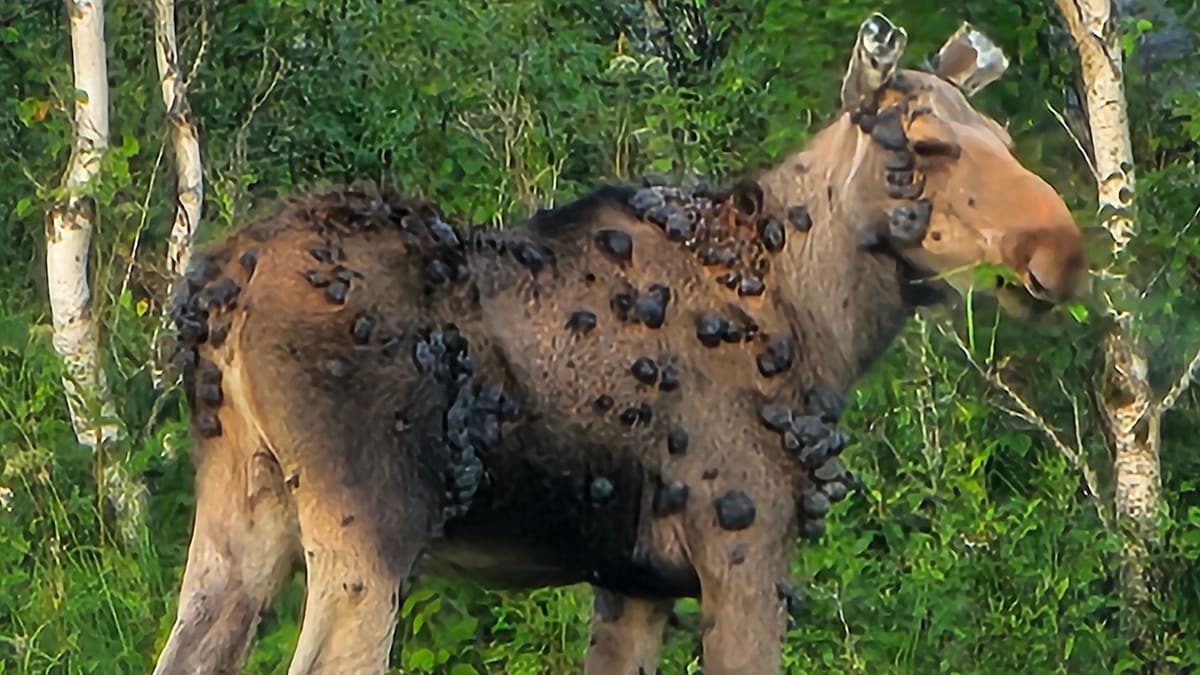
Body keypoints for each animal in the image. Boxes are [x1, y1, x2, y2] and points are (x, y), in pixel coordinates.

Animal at [150, 14, 1089, 672]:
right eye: (925, 143)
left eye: (1006, 141)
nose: (1062, 250)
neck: (825, 327)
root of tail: (222, 283)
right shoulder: (747, 548)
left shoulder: (634, 578)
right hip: (372, 520)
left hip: (240, 506)